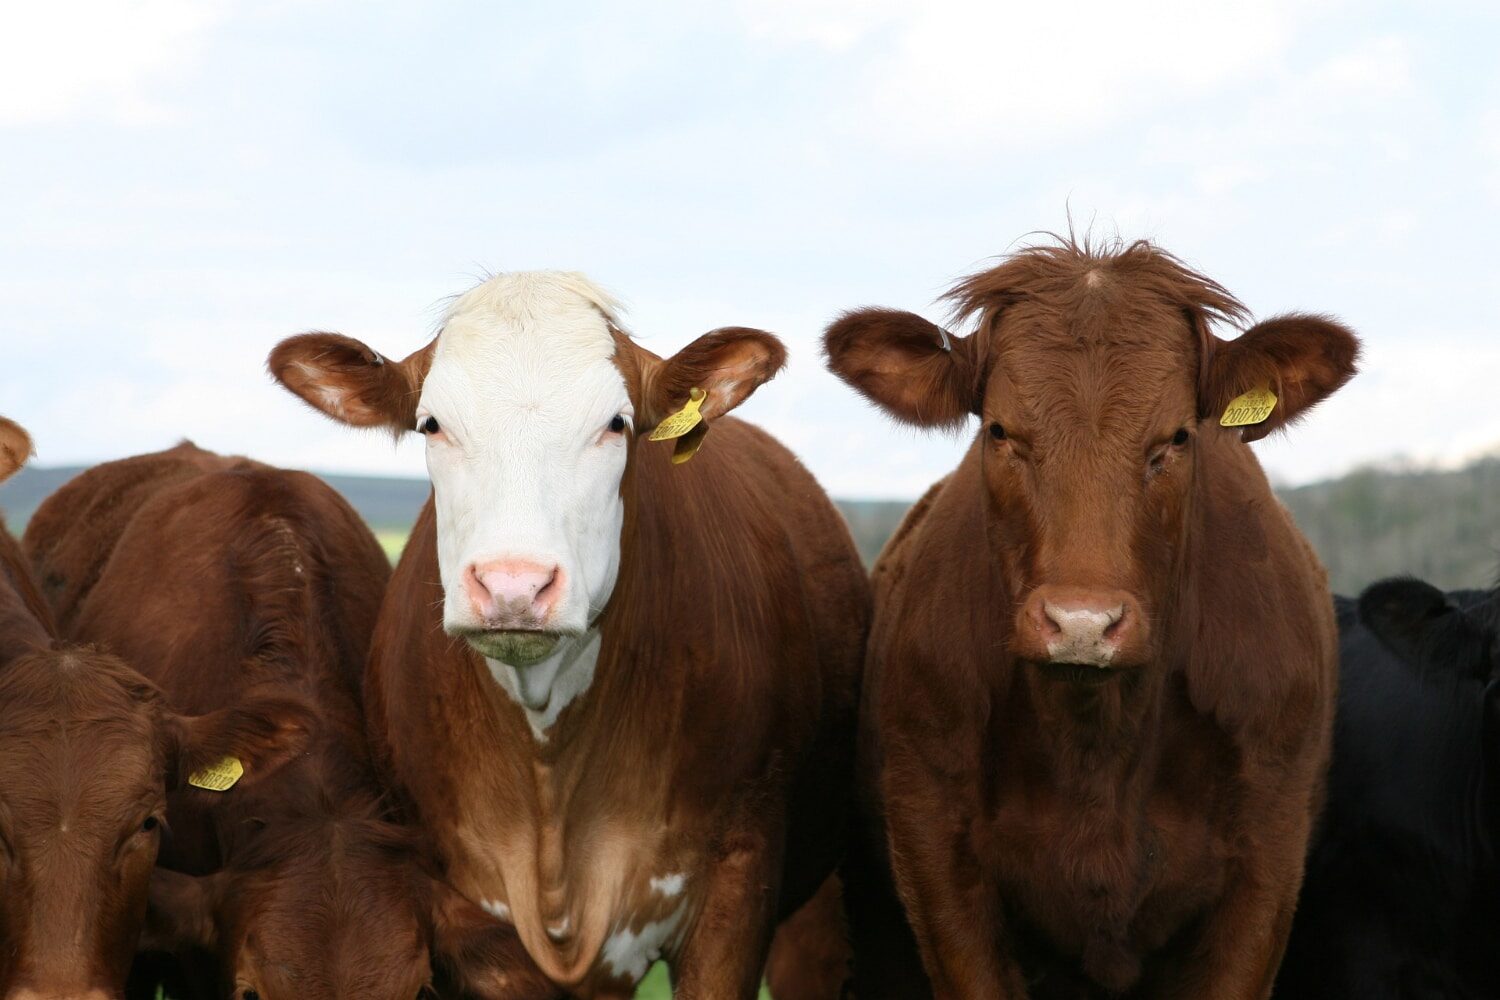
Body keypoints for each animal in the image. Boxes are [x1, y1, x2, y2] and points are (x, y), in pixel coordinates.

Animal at [821, 237, 1359, 998]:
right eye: (998, 430)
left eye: (1178, 438)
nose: (1082, 622)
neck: (1099, 744)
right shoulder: (935, 854)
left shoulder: (1268, 859)